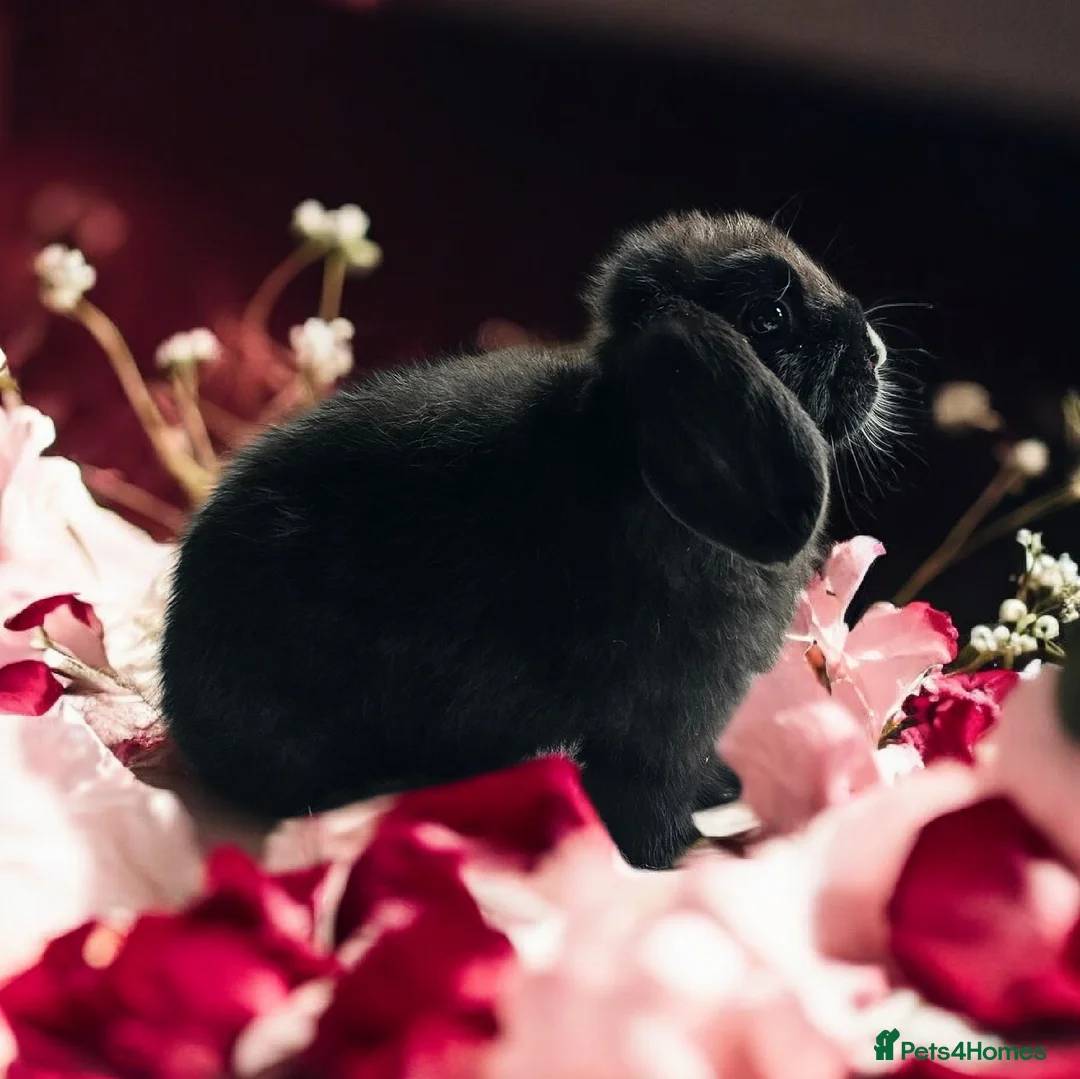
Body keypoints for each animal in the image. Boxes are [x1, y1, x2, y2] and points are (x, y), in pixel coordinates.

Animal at [159, 210, 893, 870]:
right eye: (768, 317)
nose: (875, 350)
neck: (624, 449)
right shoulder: (668, 724)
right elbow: (649, 810)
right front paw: (670, 855)